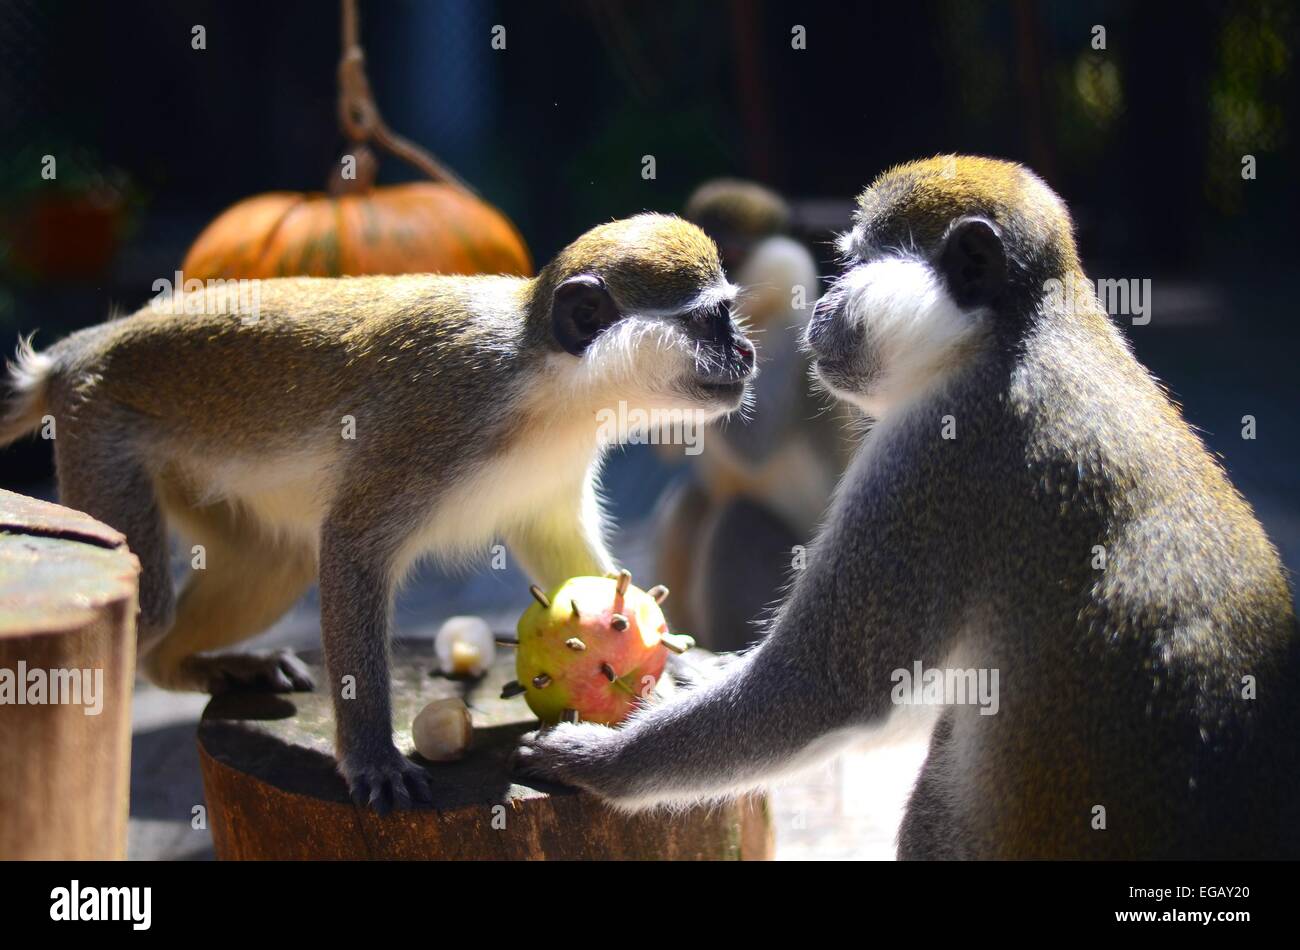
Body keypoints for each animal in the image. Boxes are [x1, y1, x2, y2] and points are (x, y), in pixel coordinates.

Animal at [0, 213, 756, 814]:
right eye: (711, 320)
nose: (747, 351)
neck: (554, 383)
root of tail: (82, 350)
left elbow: (562, 554)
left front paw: (671, 660)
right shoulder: (438, 413)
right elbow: (351, 545)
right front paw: (370, 757)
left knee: (276, 561)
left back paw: (187, 667)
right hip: (99, 421)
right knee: (155, 605)